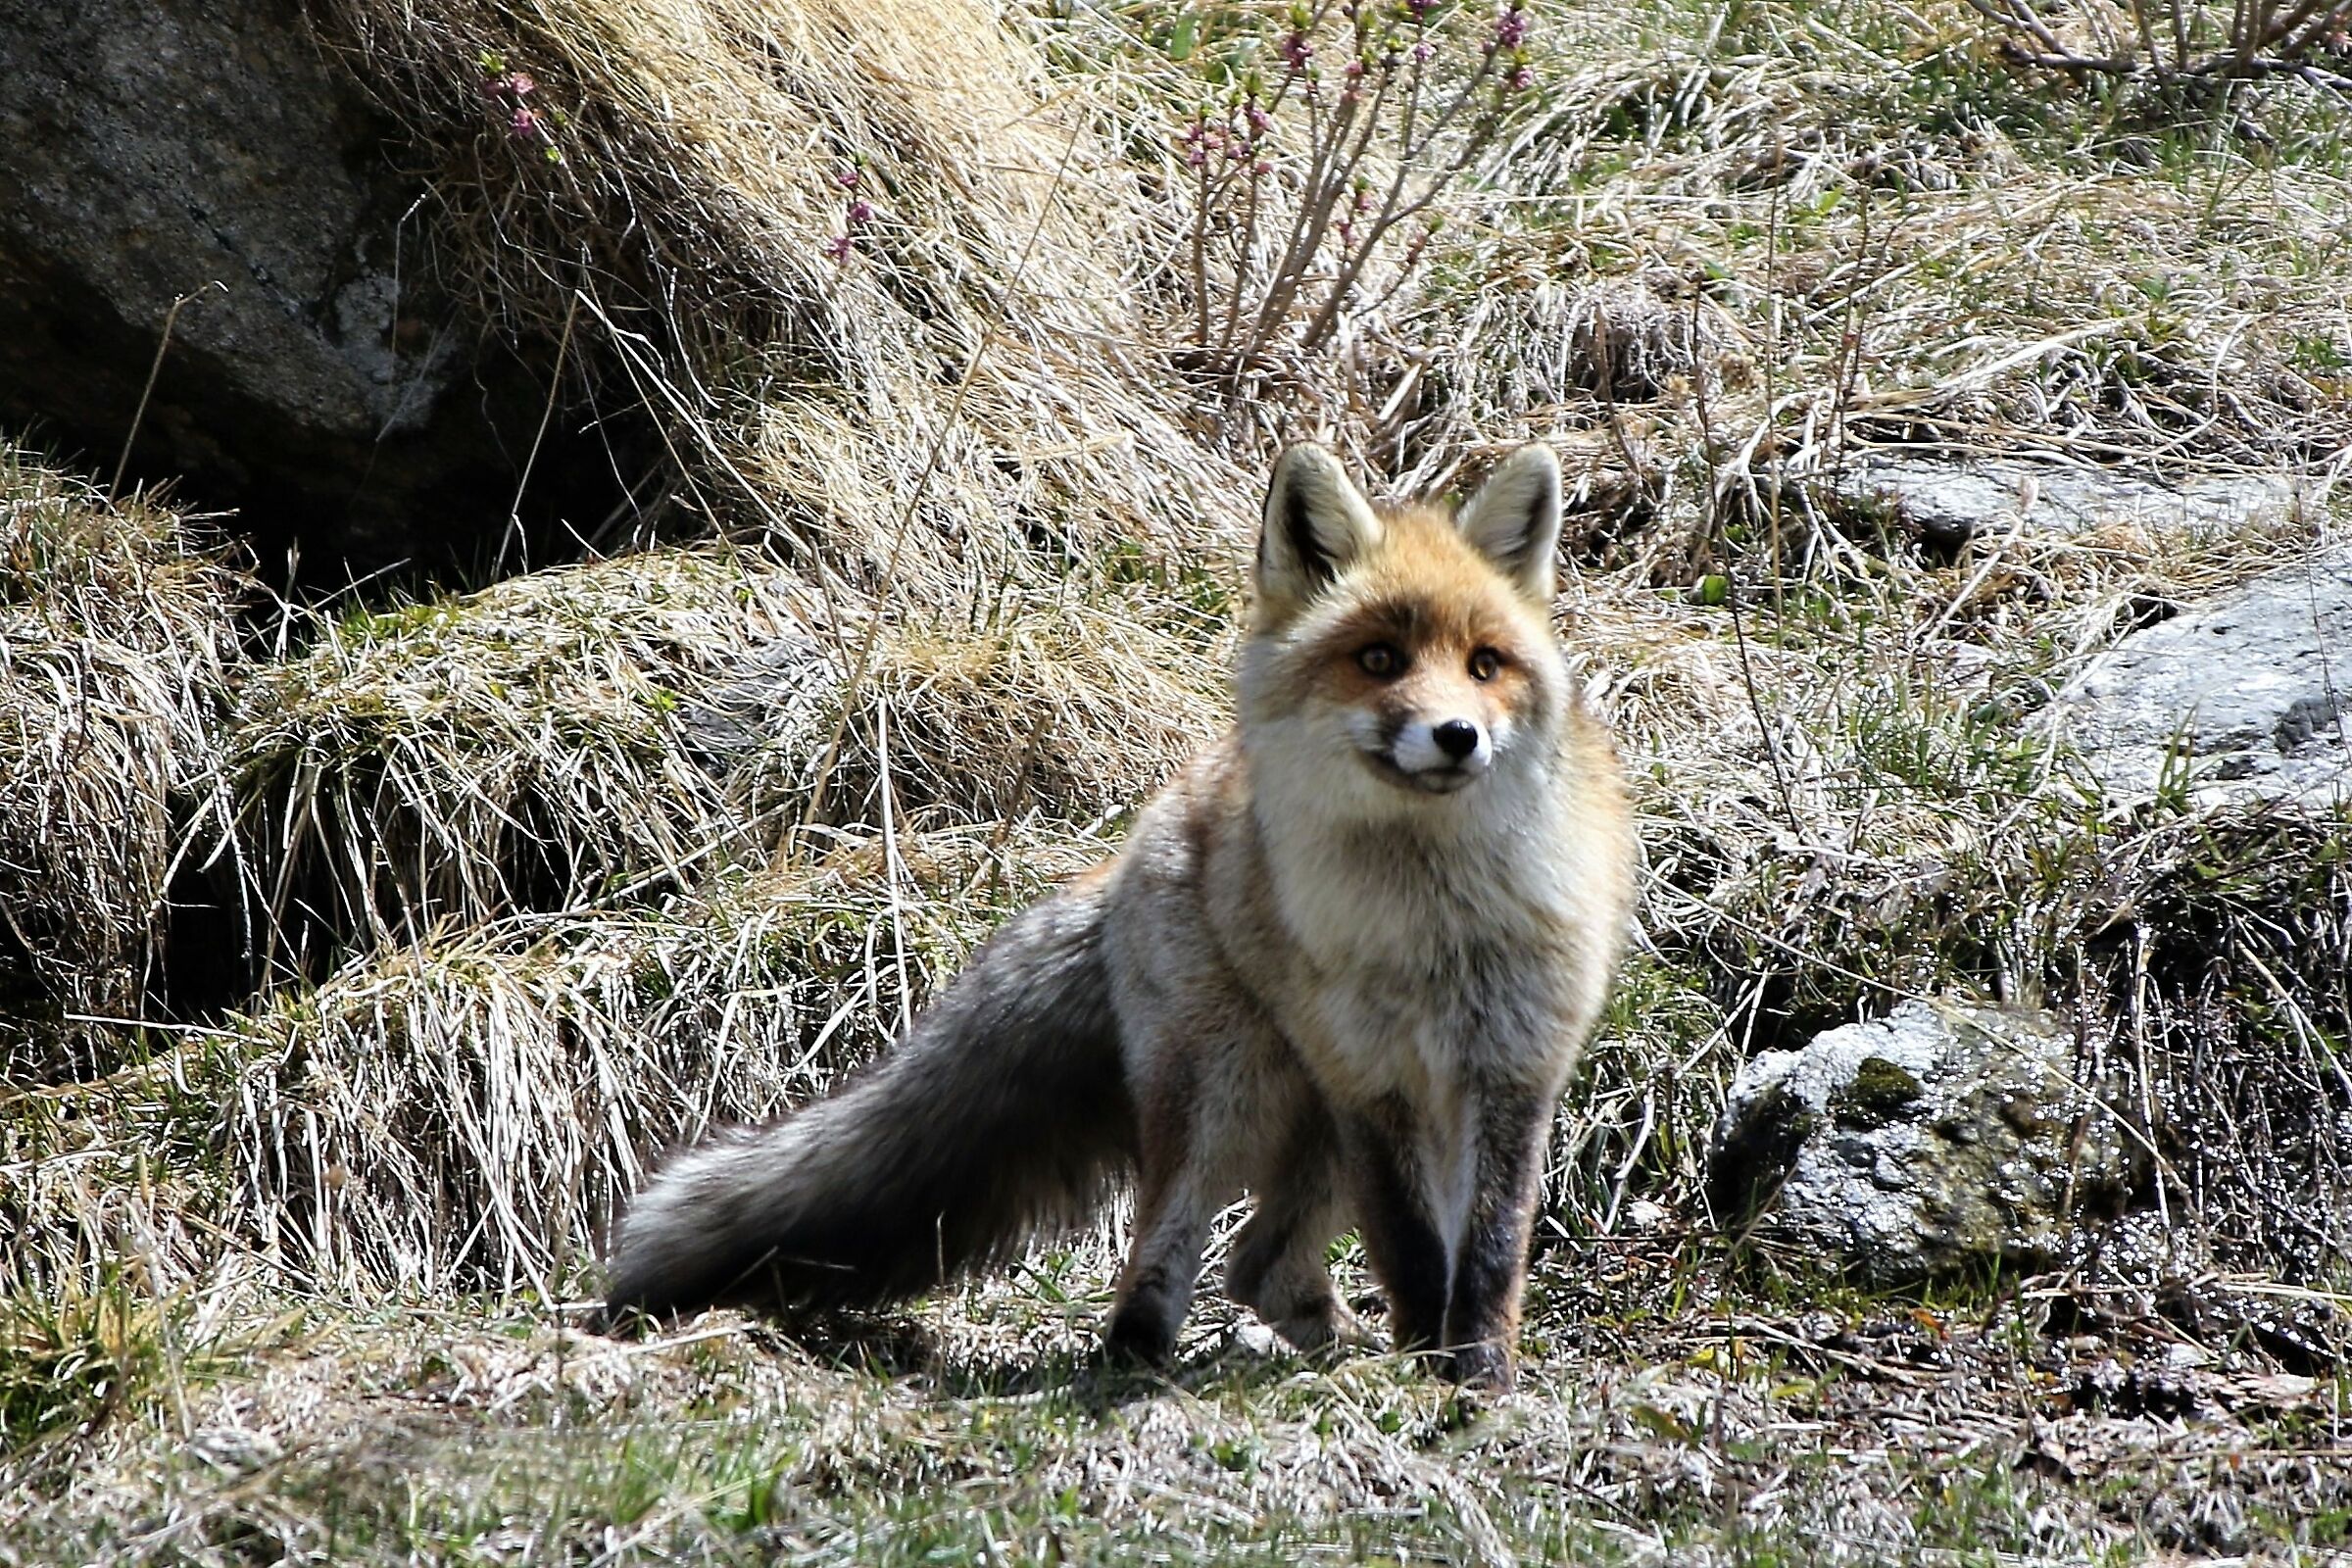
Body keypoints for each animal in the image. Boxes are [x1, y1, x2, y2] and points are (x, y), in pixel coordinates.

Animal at [604, 441, 1636, 1389]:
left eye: (1485, 665)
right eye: (1378, 660)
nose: (1457, 736)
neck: (1433, 924)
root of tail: (1146, 831)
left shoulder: (1510, 1066)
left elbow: (1490, 1247)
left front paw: (1479, 1374)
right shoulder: (1372, 1083)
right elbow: (1416, 1245)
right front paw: (1432, 1370)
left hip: (1307, 1124)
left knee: (1259, 1267)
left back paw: (1326, 1351)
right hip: (1229, 1091)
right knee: (1169, 1246)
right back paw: (1139, 1358)